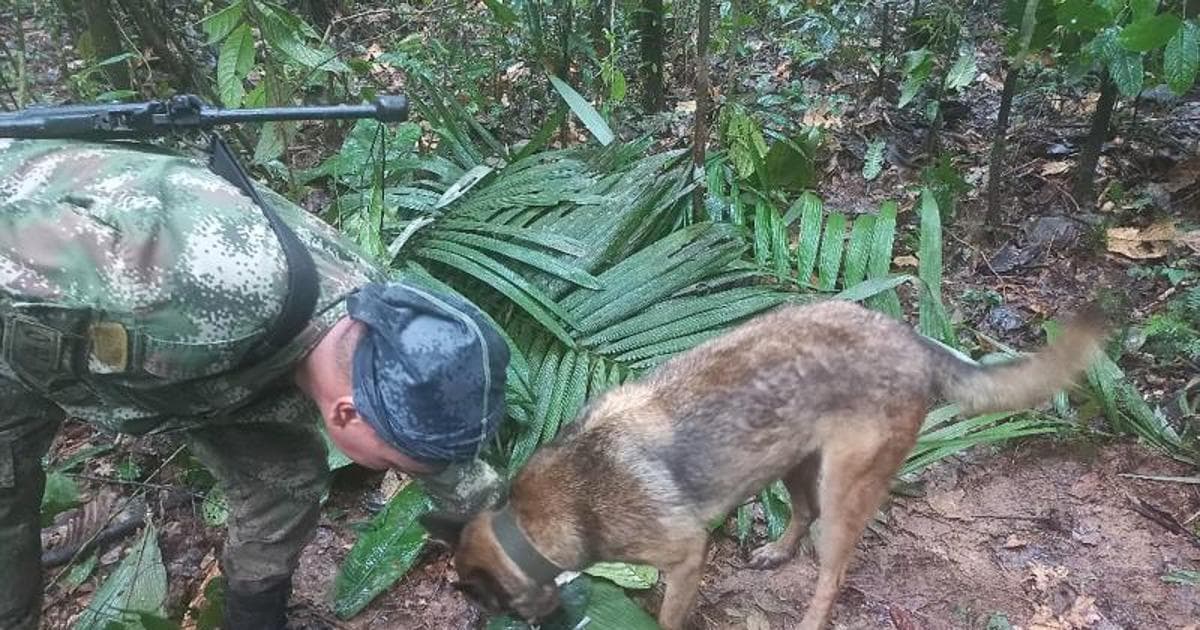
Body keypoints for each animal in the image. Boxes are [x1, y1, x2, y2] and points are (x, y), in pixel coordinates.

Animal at [422, 300, 1104, 628]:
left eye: (492, 609)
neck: (534, 521)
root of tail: (912, 340)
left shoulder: (685, 557)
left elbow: (668, 616)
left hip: (843, 490)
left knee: (832, 571)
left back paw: (811, 617)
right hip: (791, 461)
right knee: (799, 514)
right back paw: (777, 551)